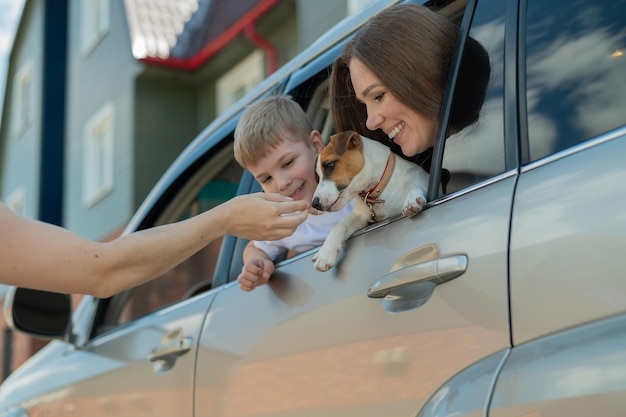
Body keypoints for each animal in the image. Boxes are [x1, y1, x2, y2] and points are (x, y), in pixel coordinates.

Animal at [312, 132, 428, 272]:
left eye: (330, 165)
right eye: (318, 175)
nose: (314, 204)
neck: (377, 191)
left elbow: (416, 187)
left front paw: (412, 201)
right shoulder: (359, 216)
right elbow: (339, 226)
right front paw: (325, 253)